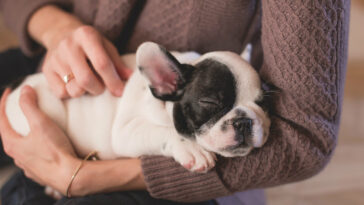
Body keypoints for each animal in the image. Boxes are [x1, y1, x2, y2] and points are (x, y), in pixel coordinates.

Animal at [4, 41, 268, 173]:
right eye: (210, 102)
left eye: (262, 103)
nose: (244, 121)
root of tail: (17, 85)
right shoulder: (125, 132)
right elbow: (163, 131)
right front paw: (192, 149)